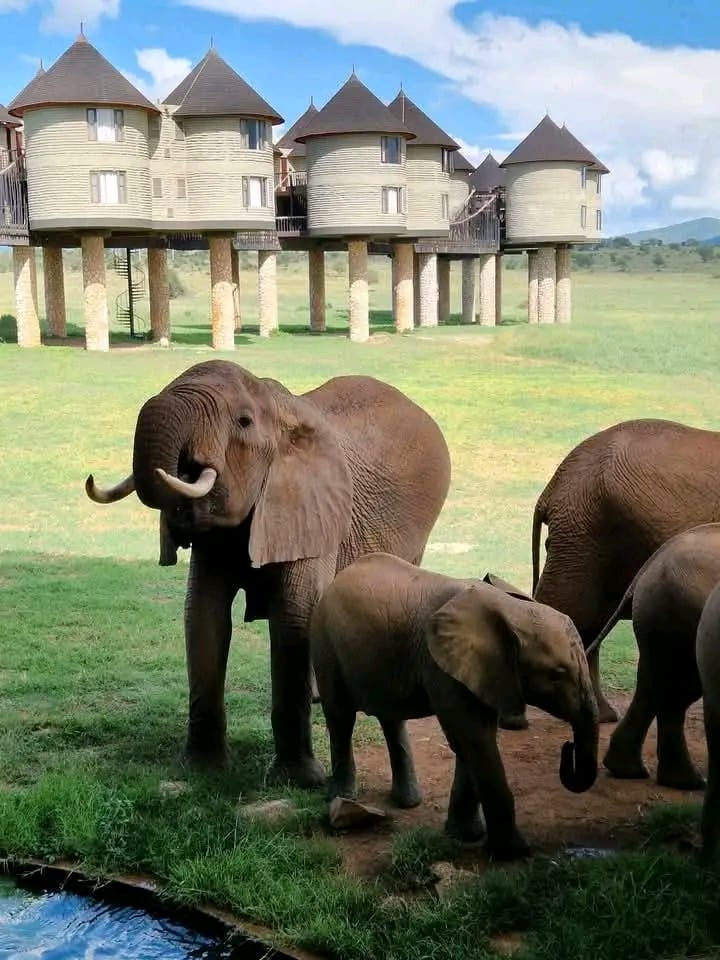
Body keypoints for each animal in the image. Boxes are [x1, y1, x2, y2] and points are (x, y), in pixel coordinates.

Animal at [85, 360, 451, 787]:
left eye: (242, 421)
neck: (281, 413)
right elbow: (203, 614)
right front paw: (202, 769)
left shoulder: (310, 508)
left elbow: (293, 618)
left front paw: (298, 779)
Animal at [309, 552, 599, 861]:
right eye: (557, 675)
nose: (568, 749)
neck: (508, 609)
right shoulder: (440, 667)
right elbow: (475, 738)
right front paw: (514, 852)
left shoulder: (482, 670)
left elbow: (472, 740)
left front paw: (467, 836)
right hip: (325, 641)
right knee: (340, 716)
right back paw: (342, 798)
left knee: (391, 719)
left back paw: (407, 803)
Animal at [586, 522, 720, 789]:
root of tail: (645, 570)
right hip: (678, 615)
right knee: (676, 691)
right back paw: (688, 782)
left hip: (660, 616)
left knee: (653, 686)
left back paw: (630, 771)